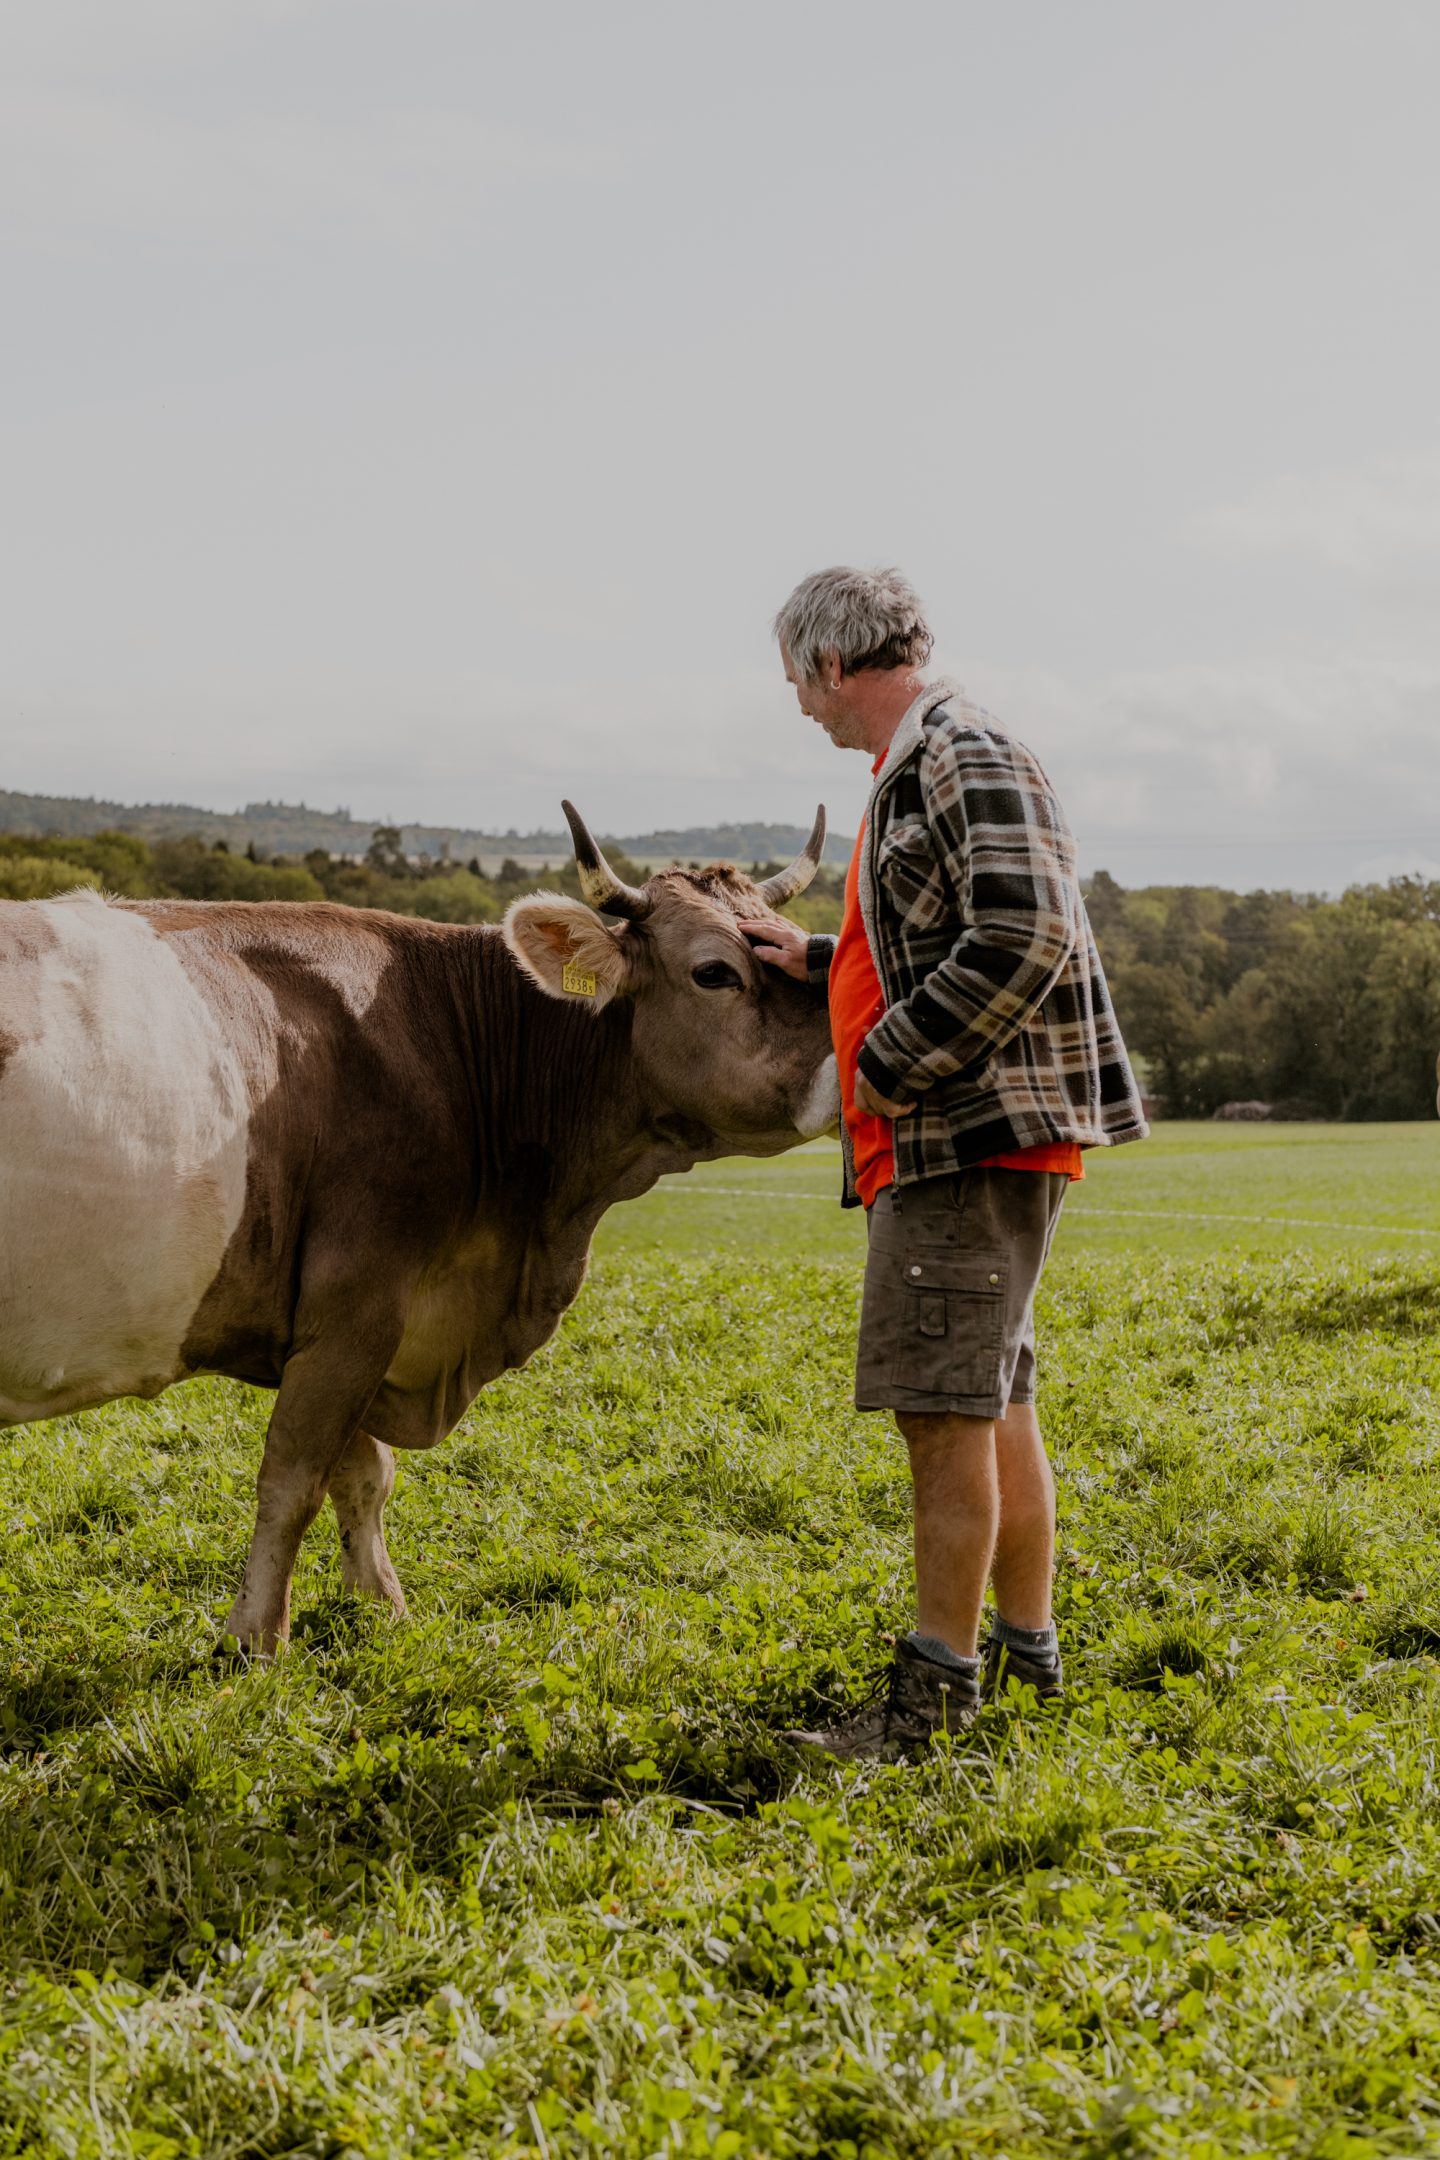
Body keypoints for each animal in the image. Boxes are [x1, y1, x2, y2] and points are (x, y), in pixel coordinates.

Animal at [0, 812, 833, 1650]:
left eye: (799, 944)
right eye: (714, 973)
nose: (844, 1062)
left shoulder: (346, 1328)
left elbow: (364, 1475)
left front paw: (382, 1608)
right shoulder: (356, 1309)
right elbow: (292, 1482)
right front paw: (255, 1640)